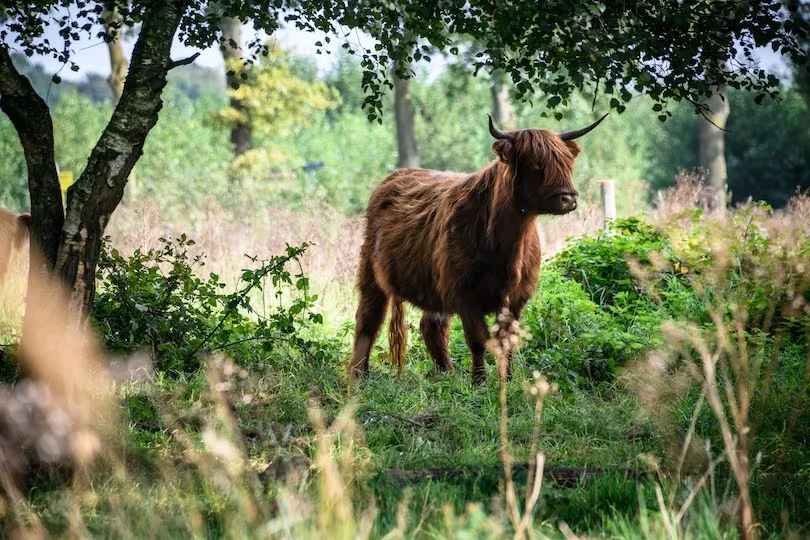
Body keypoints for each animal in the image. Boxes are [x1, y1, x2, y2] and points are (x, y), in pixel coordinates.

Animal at [348, 114, 608, 384]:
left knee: (432, 326)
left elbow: (508, 342)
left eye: (567, 162)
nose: (568, 198)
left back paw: (447, 374)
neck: (507, 246)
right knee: (368, 319)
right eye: (535, 164)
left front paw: (508, 379)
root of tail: (395, 177)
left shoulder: (516, 299)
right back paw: (359, 375)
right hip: (371, 272)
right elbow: (477, 341)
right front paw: (479, 381)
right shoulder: (465, 295)